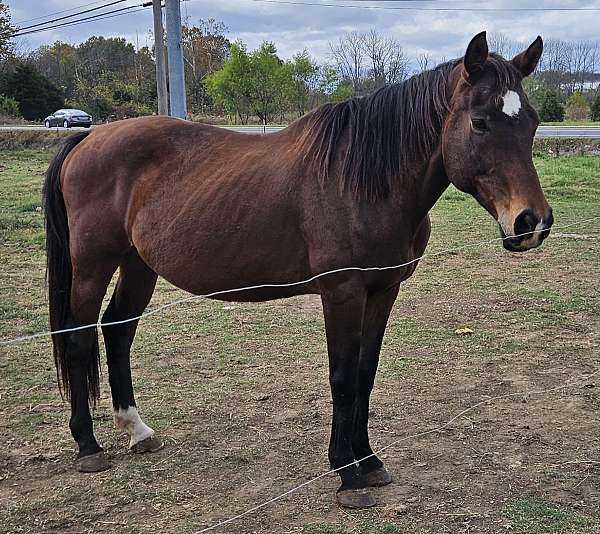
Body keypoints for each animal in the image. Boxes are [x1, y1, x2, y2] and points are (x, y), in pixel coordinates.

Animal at [44, 33, 552, 510]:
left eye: (532, 121)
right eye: (480, 121)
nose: (532, 222)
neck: (367, 181)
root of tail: (88, 138)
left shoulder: (383, 290)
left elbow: (365, 374)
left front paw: (370, 462)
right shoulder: (342, 292)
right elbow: (342, 378)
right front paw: (347, 473)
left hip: (139, 264)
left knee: (117, 330)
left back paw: (138, 430)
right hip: (93, 265)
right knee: (79, 336)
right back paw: (88, 446)